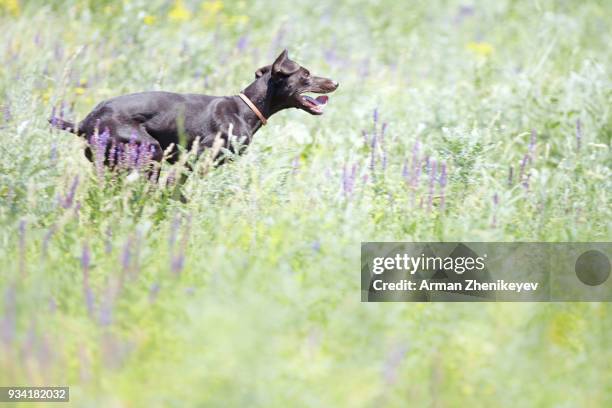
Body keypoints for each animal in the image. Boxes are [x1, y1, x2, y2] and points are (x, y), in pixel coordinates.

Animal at [49, 49, 340, 166]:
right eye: (306, 74)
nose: (336, 82)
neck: (245, 110)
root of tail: (85, 122)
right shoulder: (195, 160)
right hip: (149, 152)